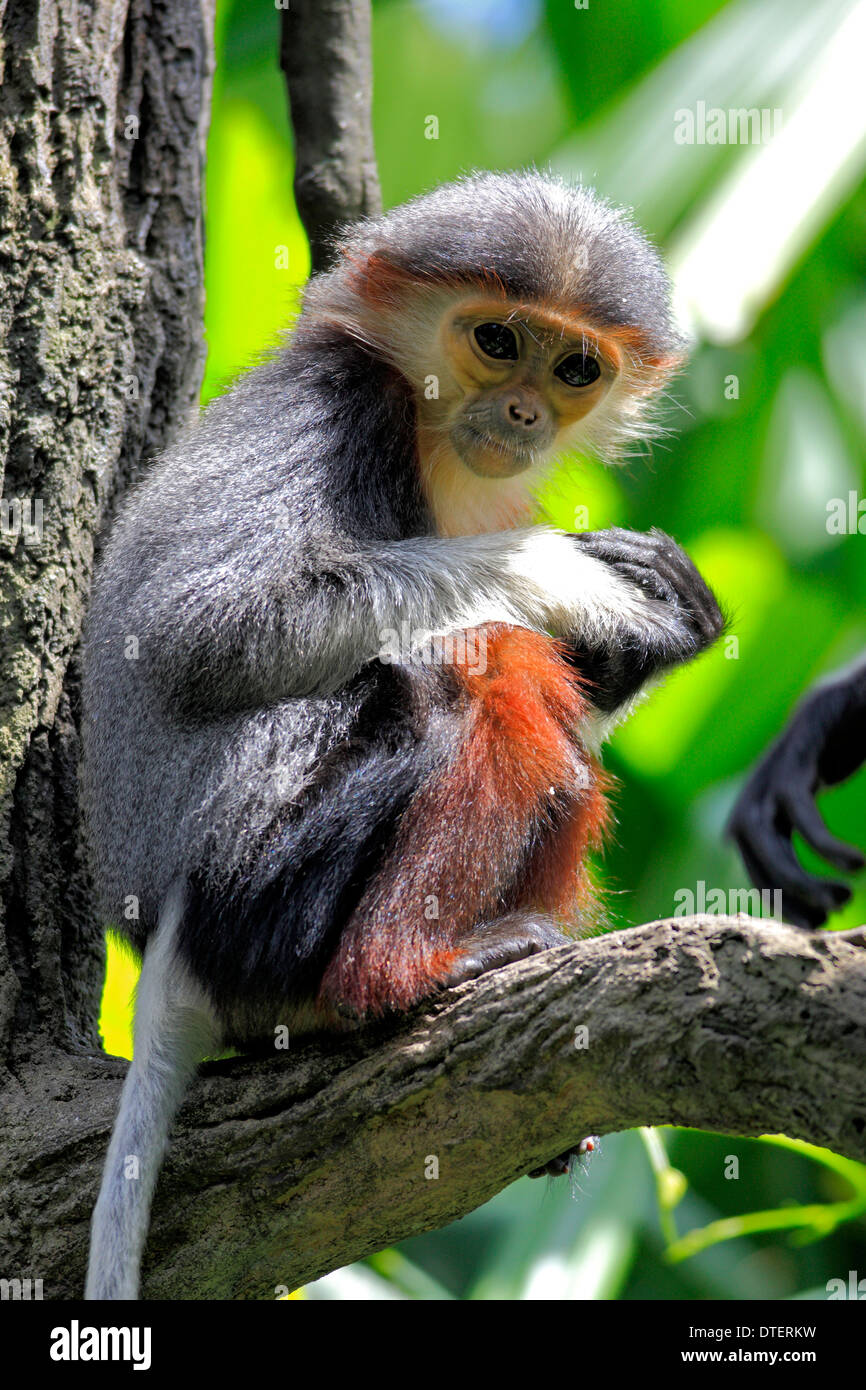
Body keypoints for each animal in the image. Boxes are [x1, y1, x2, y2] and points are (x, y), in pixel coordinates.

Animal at [81, 168, 722, 1295]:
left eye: (573, 366)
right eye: (496, 341)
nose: (522, 407)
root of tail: (161, 952)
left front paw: (671, 611)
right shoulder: (335, 400)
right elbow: (195, 632)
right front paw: (559, 569)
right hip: (255, 886)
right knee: (479, 666)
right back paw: (399, 979)